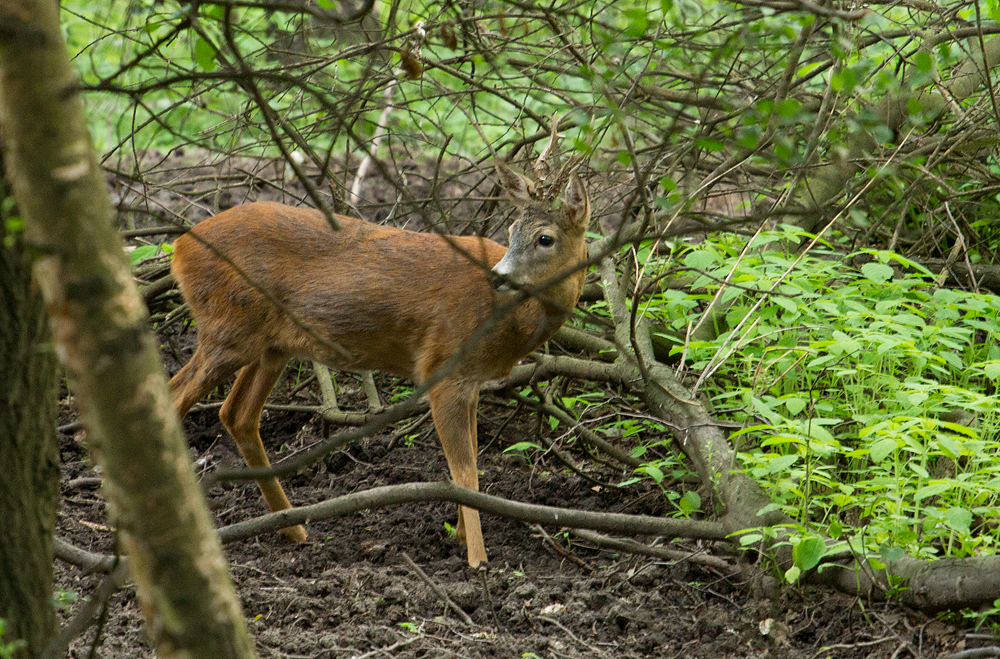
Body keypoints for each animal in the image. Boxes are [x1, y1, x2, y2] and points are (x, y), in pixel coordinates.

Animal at [168, 148, 590, 567]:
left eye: (545, 238)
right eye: (511, 231)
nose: (498, 276)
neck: (508, 320)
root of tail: (178, 249)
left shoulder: (471, 381)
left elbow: (470, 466)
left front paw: (458, 538)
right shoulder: (442, 366)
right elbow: (465, 471)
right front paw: (478, 560)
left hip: (271, 346)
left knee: (236, 413)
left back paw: (294, 529)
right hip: (227, 328)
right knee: (173, 398)